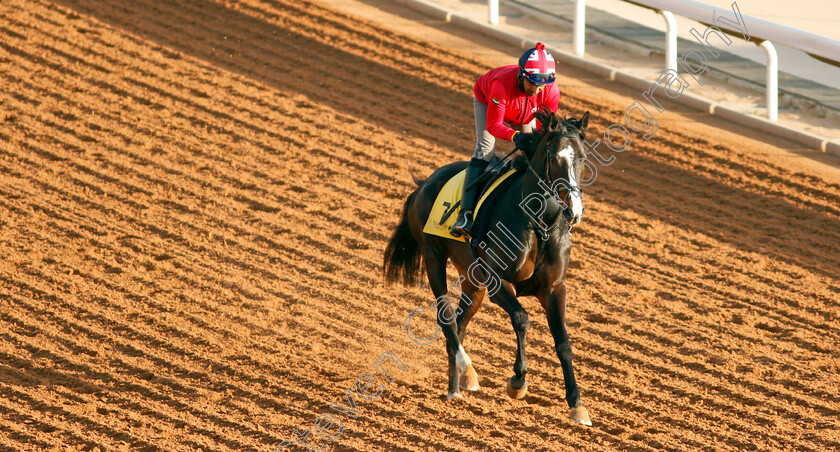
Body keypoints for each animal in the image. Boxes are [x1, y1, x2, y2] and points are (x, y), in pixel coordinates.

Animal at [384, 107, 592, 426]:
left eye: (581, 157)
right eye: (555, 157)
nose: (573, 211)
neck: (539, 224)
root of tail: (425, 183)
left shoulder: (555, 289)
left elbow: (564, 344)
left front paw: (577, 405)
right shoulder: (497, 281)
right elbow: (521, 318)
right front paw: (518, 382)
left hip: (472, 280)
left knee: (459, 324)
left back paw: (454, 388)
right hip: (434, 258)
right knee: (446, 319)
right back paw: (468, 373)